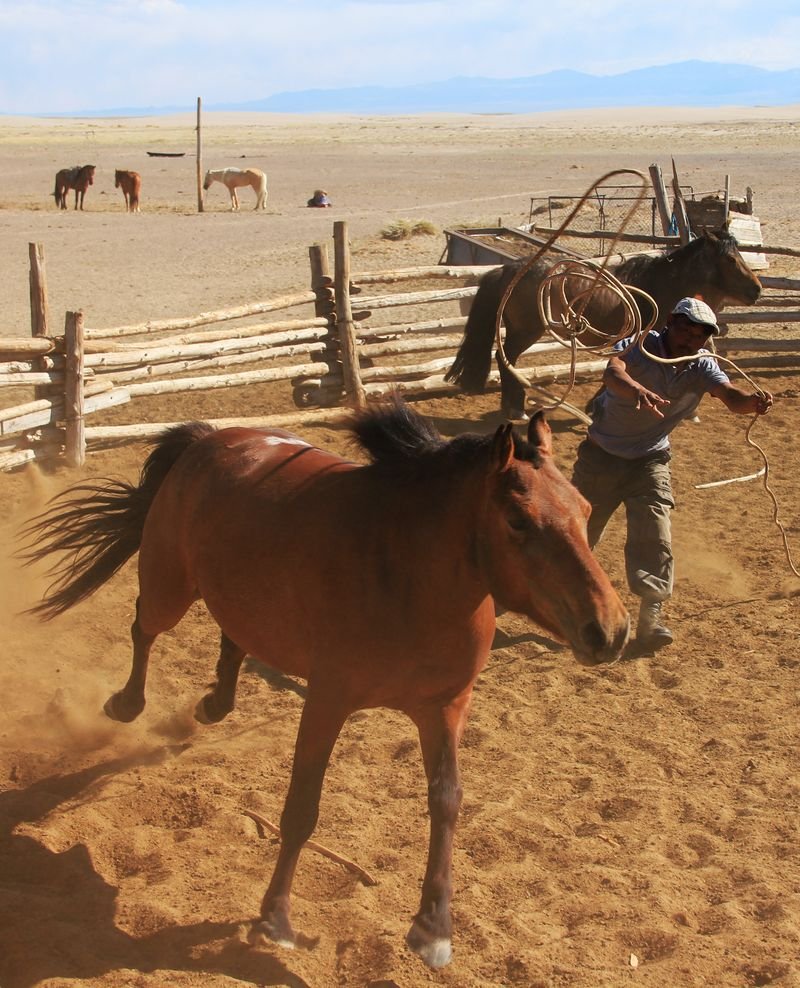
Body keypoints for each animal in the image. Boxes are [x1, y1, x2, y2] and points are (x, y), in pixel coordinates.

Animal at [18, 398, 628, 968]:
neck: (406, 574)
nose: (611, 630)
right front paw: (276, 919)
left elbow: (448, 802)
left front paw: (433, 929)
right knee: (144, 627)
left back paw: (214, 704)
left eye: (586, 509)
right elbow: (302, 808)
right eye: (518, 520)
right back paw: (126, 703)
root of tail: (209, 438)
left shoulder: (446, 707)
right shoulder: (327, 702)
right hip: (170, 585)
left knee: (232, 639)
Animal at [444, 230, 764, 418]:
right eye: (731, 259)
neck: (665, 286)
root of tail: (509, 269)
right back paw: (515, 408)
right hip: (526, 331)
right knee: (505, 358)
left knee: (505, 358)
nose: (757, 290)